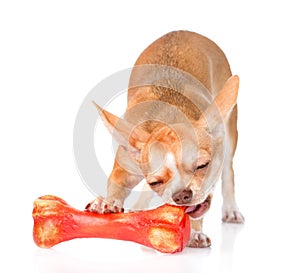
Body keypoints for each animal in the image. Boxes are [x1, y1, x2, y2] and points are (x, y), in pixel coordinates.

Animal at [86, 30, 244, 246]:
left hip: (229, 132)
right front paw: (107, 201)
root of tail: (184, 31)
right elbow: (116, 185)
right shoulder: (125, 168)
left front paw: (195, 232)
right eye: (156, 182)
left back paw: (231, 210)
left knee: (228, 171)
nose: (182, 194)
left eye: (202, 166)